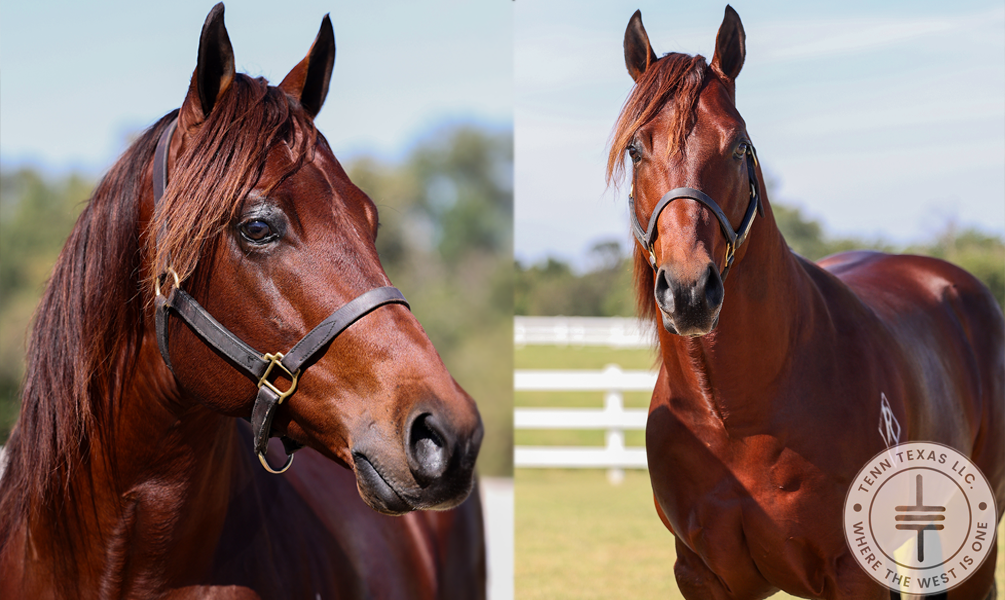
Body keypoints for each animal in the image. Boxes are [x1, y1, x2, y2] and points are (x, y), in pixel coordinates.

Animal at [608, 6, 1003, 600]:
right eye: (636, 149)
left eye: (738, 145)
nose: (689, 291)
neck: (735, 416)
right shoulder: (700, 574)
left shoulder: (852, 573)